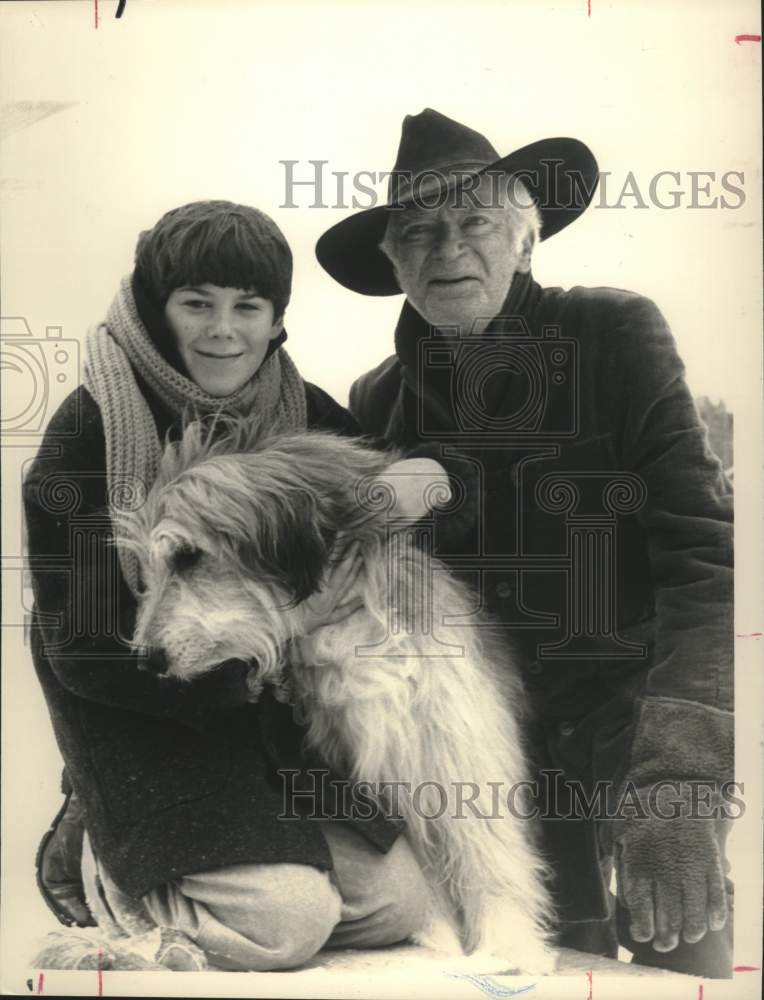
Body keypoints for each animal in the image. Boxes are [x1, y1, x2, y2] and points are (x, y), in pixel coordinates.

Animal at [121, 418, 556, 972]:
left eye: (188, 555)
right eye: (146, 573)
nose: (146, 661)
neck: (348, 632)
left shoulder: (457, 752)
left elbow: (489, 855)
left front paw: (509, 947)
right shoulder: (382, 775)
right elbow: (426, 878)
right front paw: (439, 943)